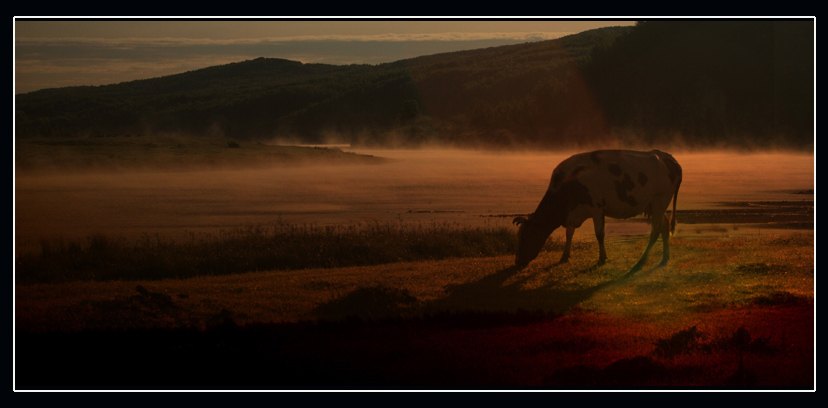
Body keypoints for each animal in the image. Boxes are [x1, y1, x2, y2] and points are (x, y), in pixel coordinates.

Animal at [516, 148, 684, 272]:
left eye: (525, 236)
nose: (517, 263)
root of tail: (668, 157)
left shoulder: (596, 208)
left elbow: (599, 235)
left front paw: (602, 258)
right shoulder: (573, 213)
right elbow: (569, 233)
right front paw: (564, 256)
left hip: (660, 199)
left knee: (655, 230)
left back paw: (641, 261)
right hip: (656, 204)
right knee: (664, 226)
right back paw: (665, 256)